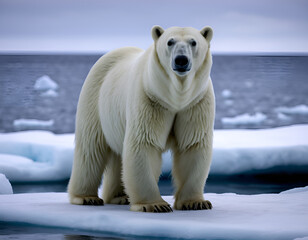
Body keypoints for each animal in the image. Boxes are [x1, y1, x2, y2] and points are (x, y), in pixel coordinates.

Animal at [68, 25, 215, 212]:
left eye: (193, 42)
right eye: (170, 42)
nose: (181, 60)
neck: (176, 98)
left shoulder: (195, 104)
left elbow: (192, 145)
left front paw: (196, 202)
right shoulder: (149, 99)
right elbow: (144, 143)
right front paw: (155, 205)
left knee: (117, 156)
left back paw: (120, 197)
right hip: (94, 100)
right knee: (90, 149)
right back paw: (86, 197)